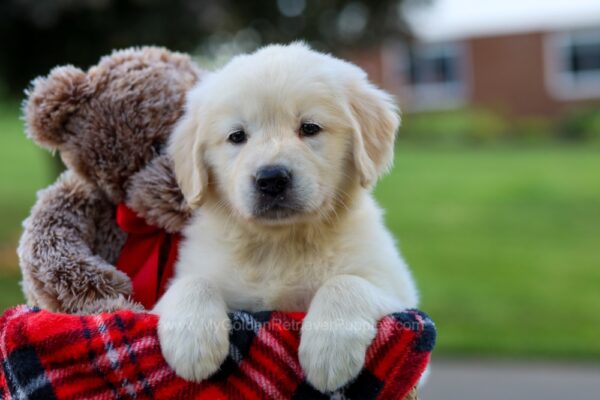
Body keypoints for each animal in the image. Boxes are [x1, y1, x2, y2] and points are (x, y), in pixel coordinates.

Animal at [154, 42, 418, 392]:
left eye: (309, 128)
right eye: (237, 136)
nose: (271, 179)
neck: (280, 243)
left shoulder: (401, 295)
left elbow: (346, 282)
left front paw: (328, 353)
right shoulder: (188, 277)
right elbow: (193, 283)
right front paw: (192, 344)